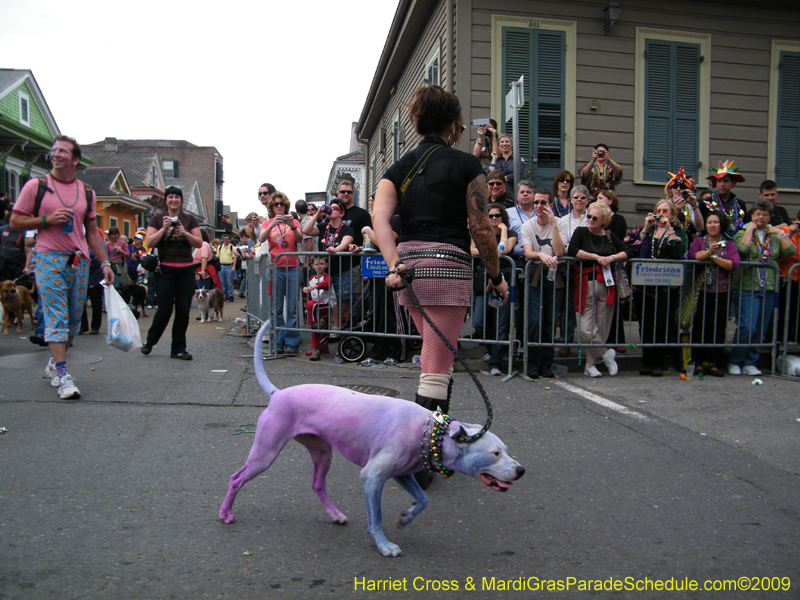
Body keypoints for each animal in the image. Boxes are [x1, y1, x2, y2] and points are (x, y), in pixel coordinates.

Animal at [219, 322, 524, 556]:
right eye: (495, 453)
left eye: (506, 450)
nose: (521, 470)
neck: (428, 431)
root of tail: (278, 393)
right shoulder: (373, 477)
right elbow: (375, 517)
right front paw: (384, 544)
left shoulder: (403, 474)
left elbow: (423, 499)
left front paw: (406, 517)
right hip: (265, 452)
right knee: (236, 478)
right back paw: (226, 514)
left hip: (322, 452)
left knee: (317, 484)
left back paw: (335, 514)